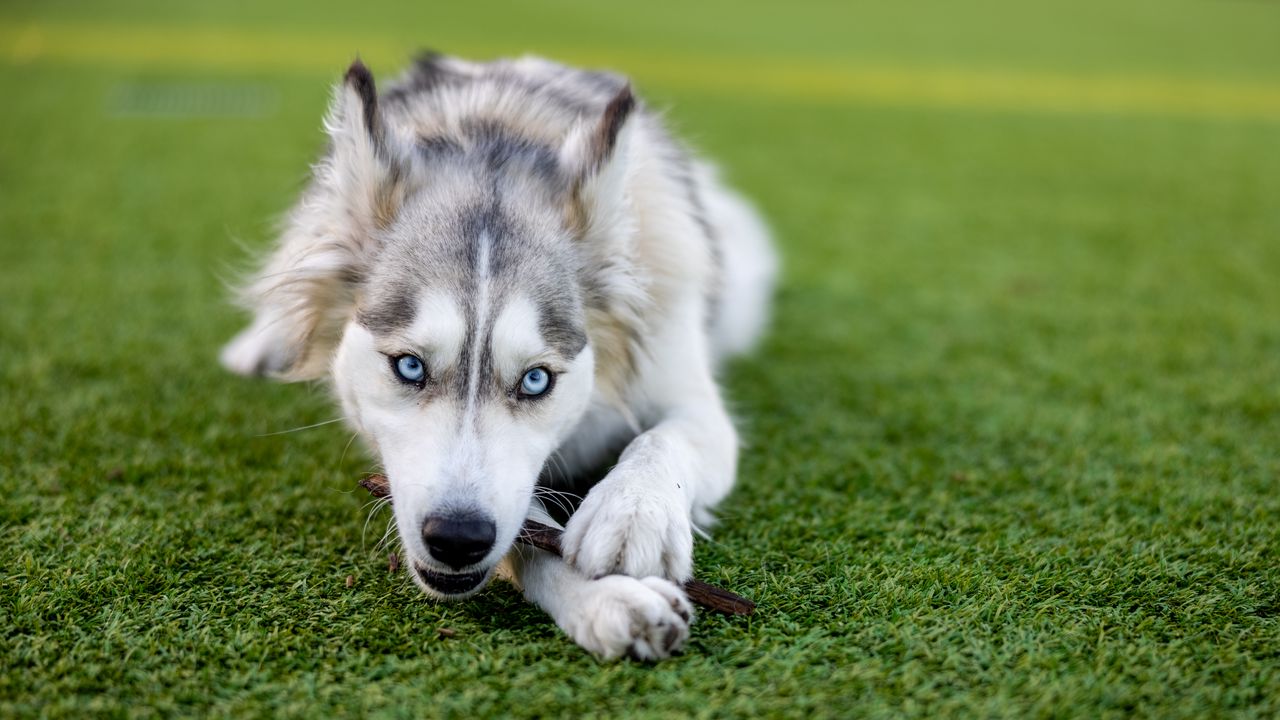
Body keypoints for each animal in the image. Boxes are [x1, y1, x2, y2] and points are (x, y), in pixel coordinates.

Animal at [221, 53, 773, 661]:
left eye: (536, 380)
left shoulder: (692, 395)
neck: (497, 138)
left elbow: (661, 439)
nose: (457, 540)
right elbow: (529, 530)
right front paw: (607, 598)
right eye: (409, 366)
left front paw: (632, 513)